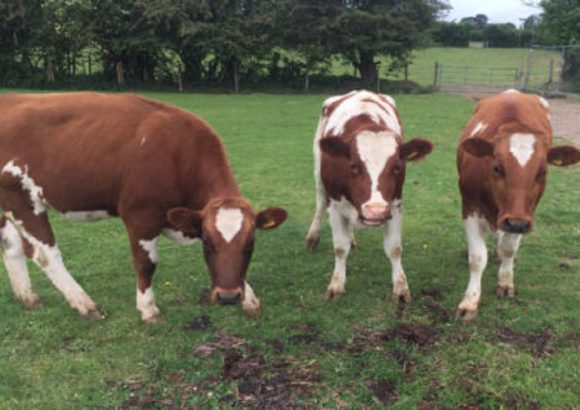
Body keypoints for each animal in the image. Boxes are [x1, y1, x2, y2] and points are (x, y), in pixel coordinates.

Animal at [0, 91, 288, 322]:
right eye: (207, 242)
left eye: (251, 243)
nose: (228, 297)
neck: (179, 155)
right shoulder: (140, 215)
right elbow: (146, 263)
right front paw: (148, 309)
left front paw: (249, 298)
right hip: (22, 199)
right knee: (45, 254)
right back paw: (86, 305)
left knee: (11, 246)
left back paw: (27, 297)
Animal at [306, 89, 432, 302]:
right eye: (354, 166)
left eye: (396, 167)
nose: (375, 211)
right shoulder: (335, 204)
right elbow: (340, 248)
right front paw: (336, 285)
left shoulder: (395, 205)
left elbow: (394, 249)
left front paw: (401, 288)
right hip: (318, 170)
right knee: (319, 202)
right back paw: (312, 237)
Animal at [458, 89, 580, 320]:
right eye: (497, 167)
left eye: (543, 172)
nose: (515, 224)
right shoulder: (470, 206)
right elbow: (477, 257)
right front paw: (470, 301)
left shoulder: (525, 214)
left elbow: (509, 248)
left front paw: (505, 281)